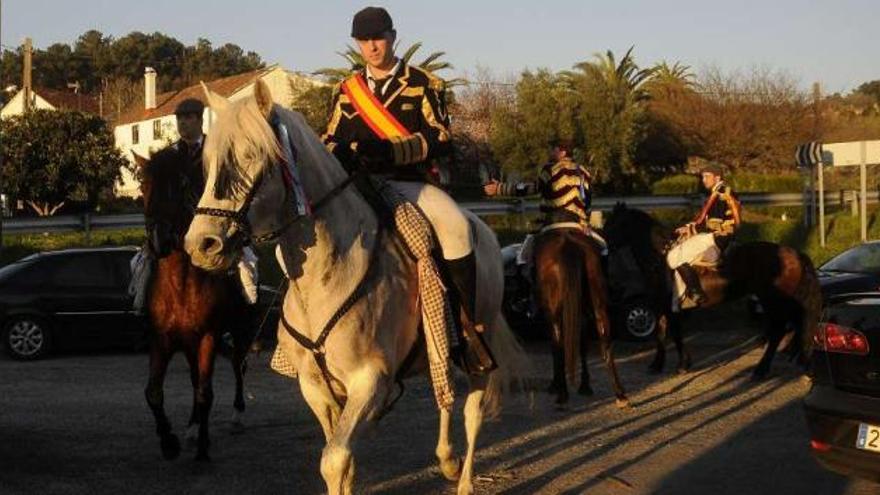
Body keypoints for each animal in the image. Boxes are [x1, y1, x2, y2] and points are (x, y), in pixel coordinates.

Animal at [139, 149, 253, 464]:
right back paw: (191, 427)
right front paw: (169, 441)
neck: (179, 284)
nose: (159, 239)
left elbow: (205, 392)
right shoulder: (162, 339)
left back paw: (237, 414)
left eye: (179, 186)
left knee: (238, 365)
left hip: (240, 331)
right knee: (194, 378)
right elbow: (153, 392)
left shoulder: (208, 338)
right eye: (144, 187)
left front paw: (203, 447)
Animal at [186, 79, 524, 494]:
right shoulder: (316, 386)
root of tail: (483, 231)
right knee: (443, 391)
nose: (202, 245)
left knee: (471, 410)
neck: (326, 275)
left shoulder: (370, 380)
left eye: (253, 156)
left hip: (481, 338)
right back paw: (447, 460)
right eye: (209, 164)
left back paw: (462, 480)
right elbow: (340, 462)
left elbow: (334, 459)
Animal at [532, 229, 628, 406]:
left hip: (554, 310)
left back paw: (562, 394)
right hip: (597, 300)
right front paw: (585, 385)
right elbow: (582, 345)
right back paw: (620, 393)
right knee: (604, 336)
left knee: (558, 342)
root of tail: (568, 245)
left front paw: (556, 384)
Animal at [600, 203, 820, 382]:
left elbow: (675, 334)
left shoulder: (669, 307)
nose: (602, 248)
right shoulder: (661, 305)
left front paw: (682, 365)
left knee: (778, 331)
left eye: (613, 224)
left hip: (773, 300)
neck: (659, 257)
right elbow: (661, 334)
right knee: (797, 324)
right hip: (783, 301)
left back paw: (762, 370)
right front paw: (657, 365)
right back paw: (801, 362)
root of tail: (794, 253)